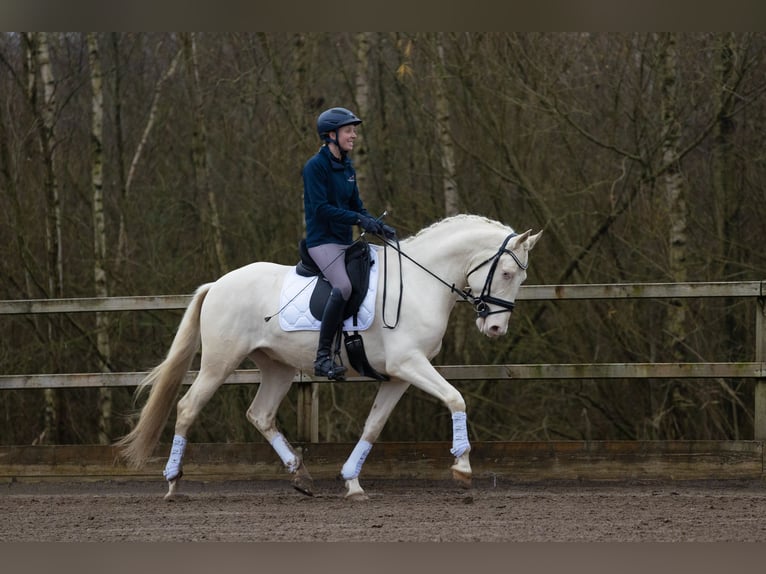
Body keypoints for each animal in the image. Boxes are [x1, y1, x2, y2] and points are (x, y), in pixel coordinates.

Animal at [117, 214, 544, 502]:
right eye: (507, 272)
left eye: (520, 278)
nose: (495, 329)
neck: (421, 281)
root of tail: (218, 283)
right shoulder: (409, 364)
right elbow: (457, 398)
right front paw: (462, 468)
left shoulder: (399, 376)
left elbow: (373, 426)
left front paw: (352, 482)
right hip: (220, 362)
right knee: (189, 407)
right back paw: (173, 481)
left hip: (278, 367)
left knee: (261, 414)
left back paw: (300, 476)